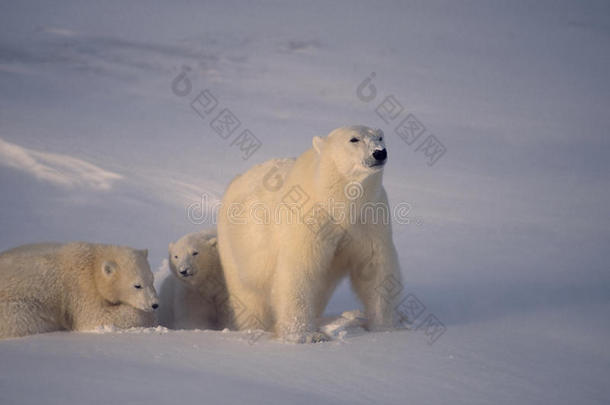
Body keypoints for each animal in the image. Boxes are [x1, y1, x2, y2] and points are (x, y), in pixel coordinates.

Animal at [216, 125, 402, 340]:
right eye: (354, 139)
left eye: (380, 137)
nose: (379, 152)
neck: (337, 202)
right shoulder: (309, 218)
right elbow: (299, 269)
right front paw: (304, 335)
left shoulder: (369, 219)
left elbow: (375, 266)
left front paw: (384, 328)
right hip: (238, 249)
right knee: (249, 297)